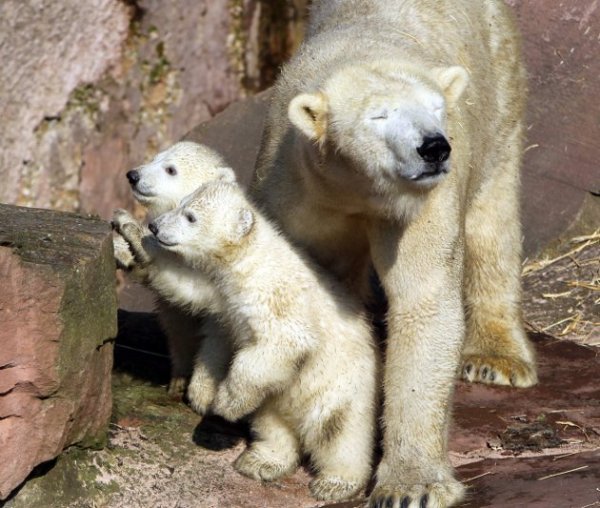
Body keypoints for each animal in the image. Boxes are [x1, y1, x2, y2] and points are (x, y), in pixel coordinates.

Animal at [251, 0, 536, 508]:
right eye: (379, 117)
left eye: (438, 109)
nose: (434, 147)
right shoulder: (295, 192)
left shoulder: (422, 204)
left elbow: (424, 304)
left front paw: (411, 486)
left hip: (500, 86)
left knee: (492, 217)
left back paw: (496, 357)